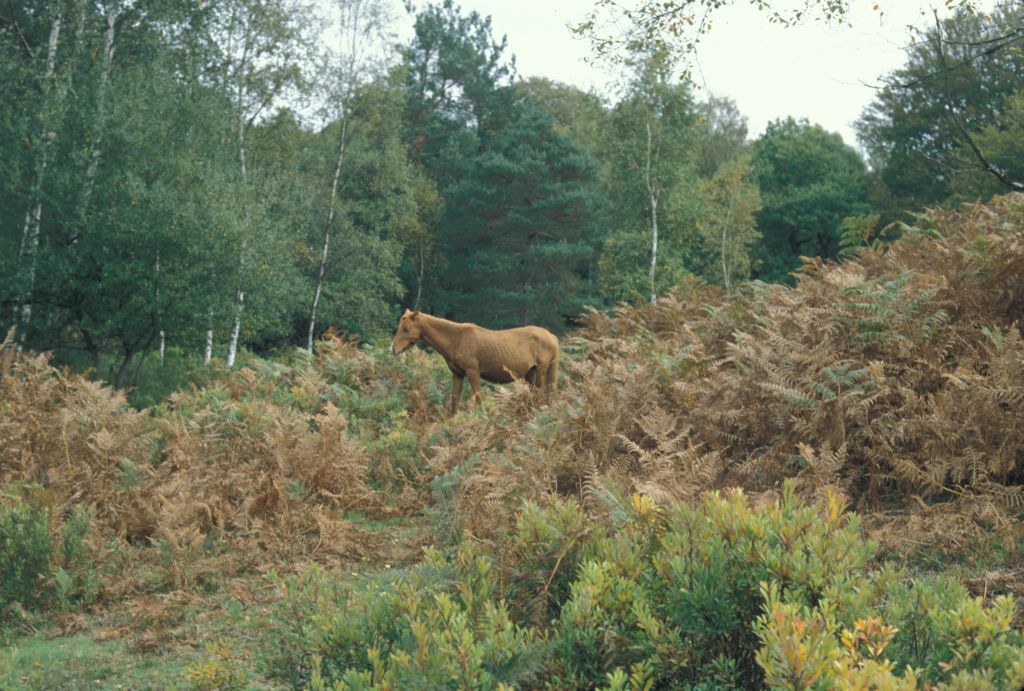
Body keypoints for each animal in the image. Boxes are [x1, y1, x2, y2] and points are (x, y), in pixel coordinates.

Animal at [390, 309, 559, 414]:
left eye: (406, 328)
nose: (393, 349)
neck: (455, 340)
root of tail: (552, 337)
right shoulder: (457, 374)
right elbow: (454, 402)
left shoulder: (473, 372)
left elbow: (478, 400)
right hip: (531, 373)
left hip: (540, 371)